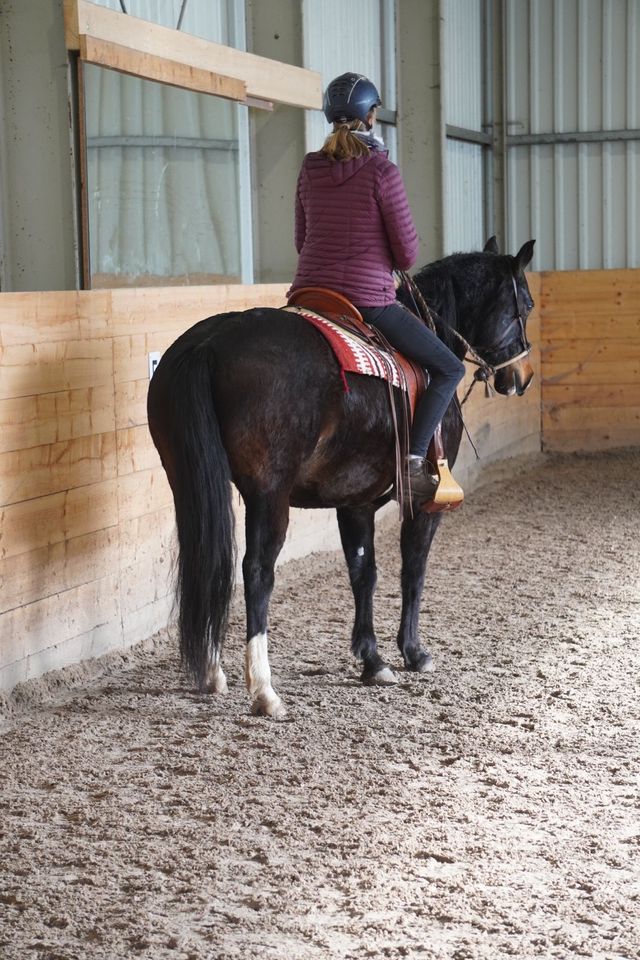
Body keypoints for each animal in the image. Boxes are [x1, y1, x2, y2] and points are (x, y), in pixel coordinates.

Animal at [149, 238, 536, 720]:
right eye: (527, 304)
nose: (522, 378)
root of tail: (211, 342)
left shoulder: (355, 501)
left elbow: (362, 572)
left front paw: (372, 659)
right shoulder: (425, 505)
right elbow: (413, 570)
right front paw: (413, 652)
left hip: (188, 483)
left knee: (206, 561)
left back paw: (211, 671)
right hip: (269, 495)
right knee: (255, 571)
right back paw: (264, 689)